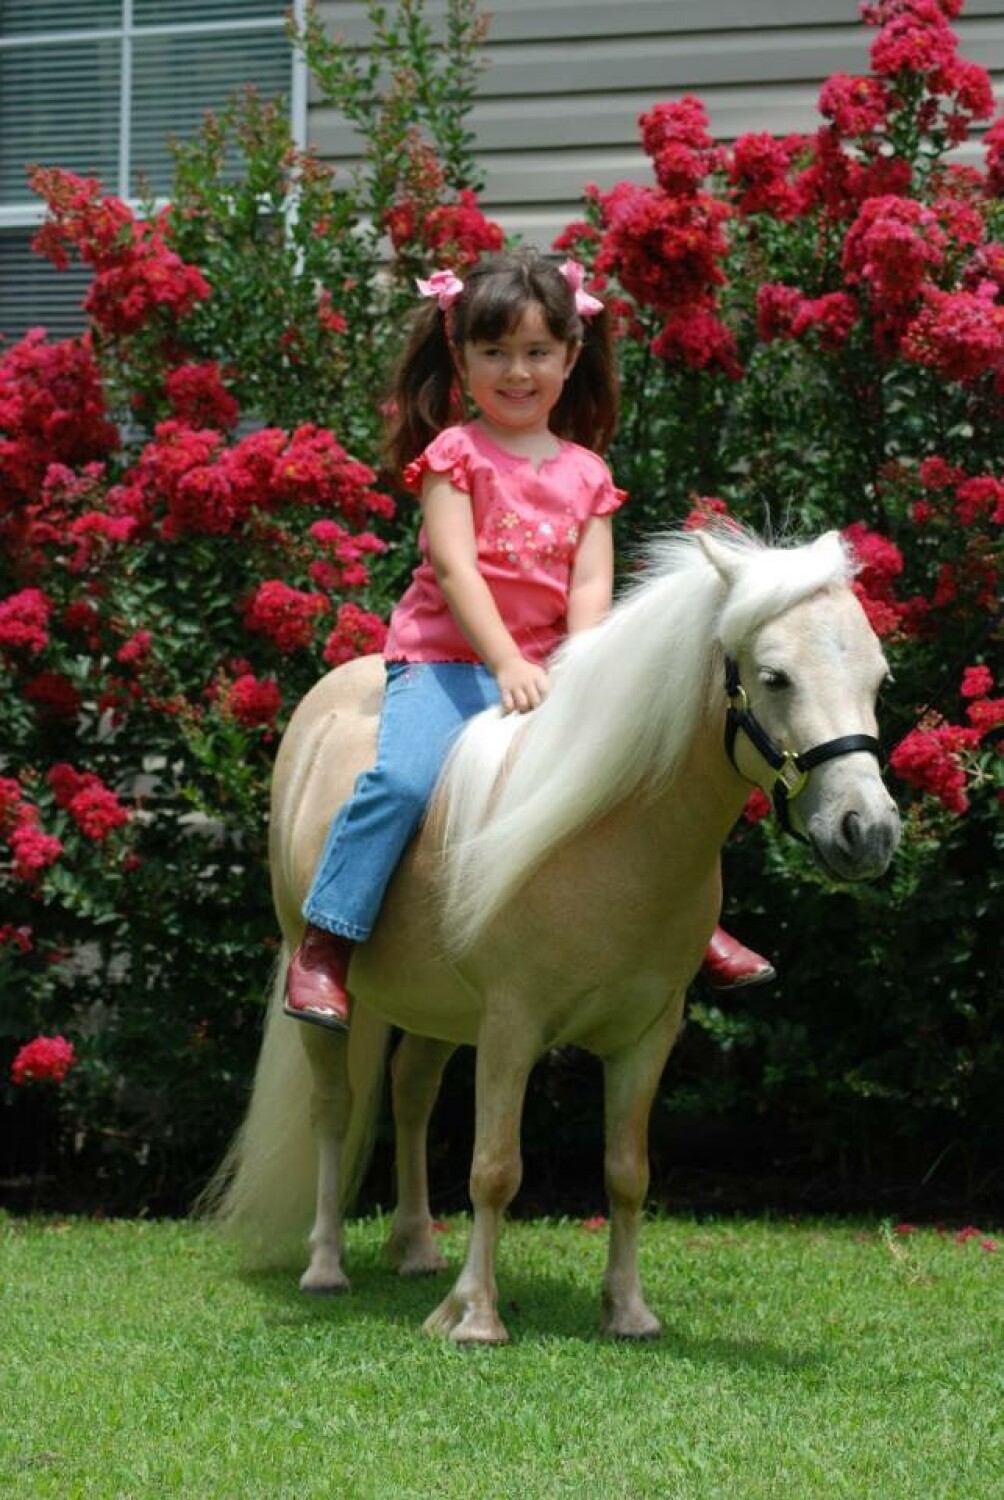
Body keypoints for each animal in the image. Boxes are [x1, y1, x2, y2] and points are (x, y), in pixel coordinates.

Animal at [207, 527, 901, 1344]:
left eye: (879, 679)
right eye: (775, 677)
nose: (868, 831)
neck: (609, 837)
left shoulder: (647, 1034)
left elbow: (627, 1173)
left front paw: (628, 1311)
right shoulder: (512, 1024)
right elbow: (494, 1169)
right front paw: (476, 1315)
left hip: (438, 1009)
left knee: (410, 1097)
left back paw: (416, 1249)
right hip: (325, 992)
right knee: (335, 1110)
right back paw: (324, 1266)